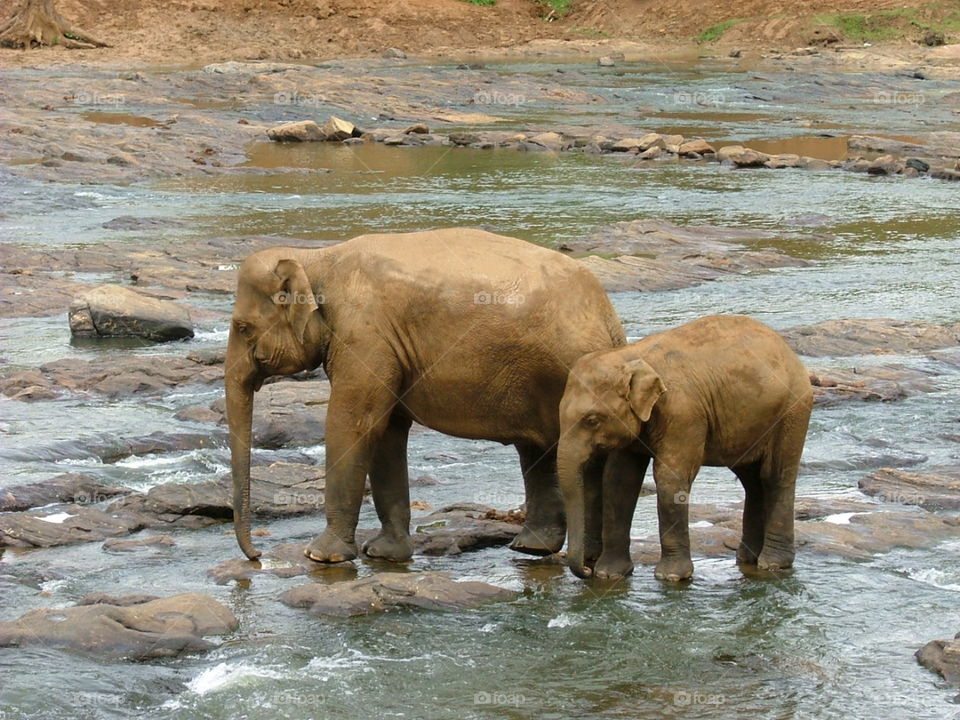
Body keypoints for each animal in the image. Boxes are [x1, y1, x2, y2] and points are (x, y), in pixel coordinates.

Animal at [225, 228, 626, 563]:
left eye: (243, 328)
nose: (257, 556)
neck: (316, 259)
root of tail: (609, 318)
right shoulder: (384, 348)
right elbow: (387, 431)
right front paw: (385, 555)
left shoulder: (365, 336)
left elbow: (353, 424)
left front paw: (321, 556)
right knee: (535, 450)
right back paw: (533, 548)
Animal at [557, 314, 813, 582]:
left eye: (591, 420)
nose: (586, 569)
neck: (631, 355)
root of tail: (789, 352)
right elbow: (619, 481)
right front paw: (610, 575)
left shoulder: (684, 413)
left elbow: (669, 479)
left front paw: (671, 577)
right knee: (752, 481)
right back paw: (747, 559)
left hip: (792, 412)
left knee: (775, 477)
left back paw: (772, 564)